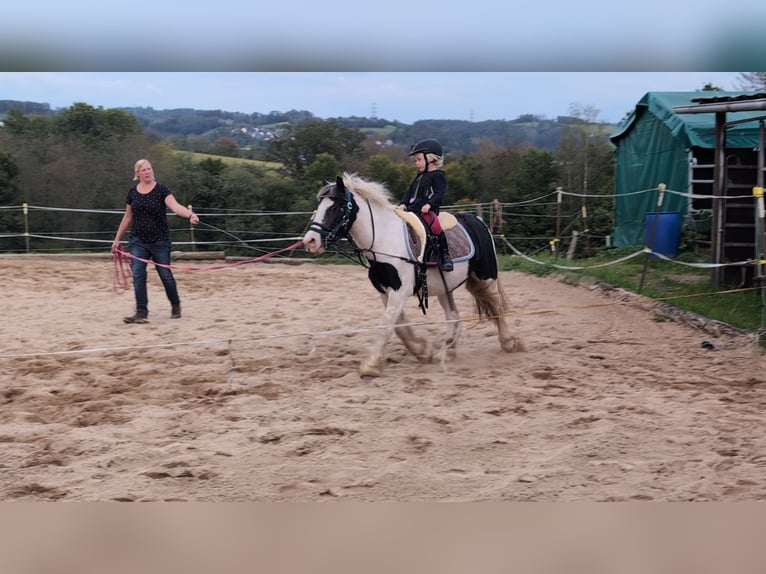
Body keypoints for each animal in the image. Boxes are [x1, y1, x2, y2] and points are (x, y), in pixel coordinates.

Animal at [300, 172, 520, 378]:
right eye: (319, 206)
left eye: (334, 208)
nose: (310, 241)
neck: (383, 239)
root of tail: (479, 222)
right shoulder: (385, 291)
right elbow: (397, 324)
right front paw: (421, 350)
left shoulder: (400, 291)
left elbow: (387, 325)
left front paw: (370, 365)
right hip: (445, 287)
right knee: (453, 316)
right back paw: (447, 353)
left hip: (486, 278)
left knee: (496, 305)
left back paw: (509, 342)